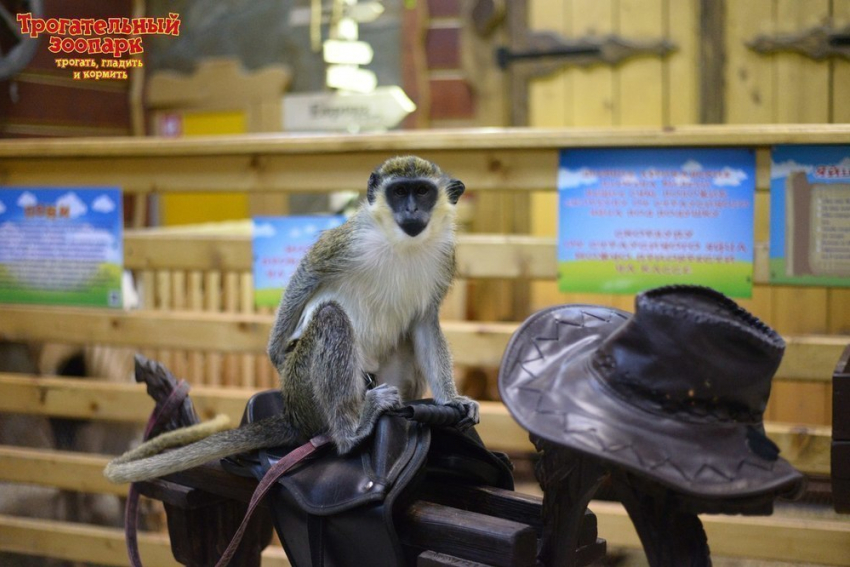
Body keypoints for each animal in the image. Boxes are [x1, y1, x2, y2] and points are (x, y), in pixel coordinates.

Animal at [102, 156, 474, 484]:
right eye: (399, 192)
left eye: (422, 191)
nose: (411, 210)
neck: (402, 244)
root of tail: (295, 415)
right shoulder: (348, 242)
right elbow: (308, 273)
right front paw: (274, 352)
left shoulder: (443, 259)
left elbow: (424, 323)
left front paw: (452, 400)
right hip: (306, 387)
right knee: (330, 318)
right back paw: (350, 431)